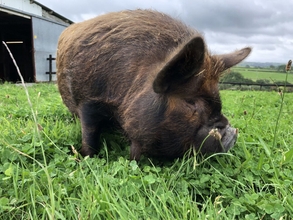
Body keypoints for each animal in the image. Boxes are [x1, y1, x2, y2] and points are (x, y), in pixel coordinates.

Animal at [57, 9, 251, 161]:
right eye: (190, 102)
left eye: (219, 99)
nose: (231, 133)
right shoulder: (88, 100)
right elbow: (89, 135)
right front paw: (87, 157)